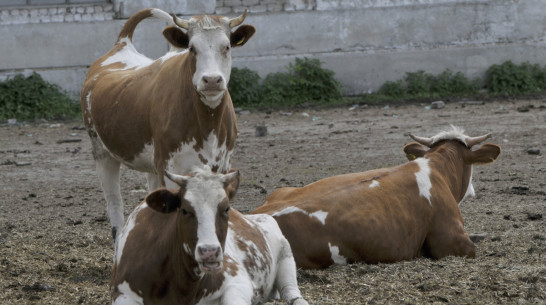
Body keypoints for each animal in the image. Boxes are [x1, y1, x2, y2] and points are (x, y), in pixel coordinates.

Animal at [80, 7, 255, 240]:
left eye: (226, 46)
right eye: (192, 48)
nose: (211, 80)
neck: (207, 122)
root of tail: (122, 44)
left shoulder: (222, 165)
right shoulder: (169, 167)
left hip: (151, 164)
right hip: (102, 153)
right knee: (115, 205)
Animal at [109, 166, 310, 304]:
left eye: (226, 208)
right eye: (184, 210)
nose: (209, 252)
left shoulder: (237, 281)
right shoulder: (122, 293)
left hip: (286, 256)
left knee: (292, 294)